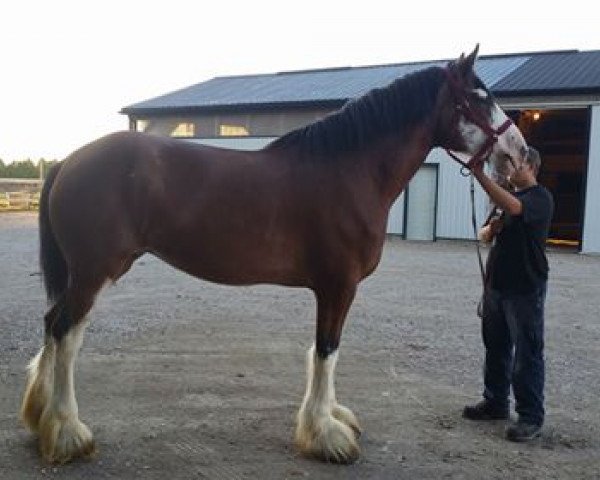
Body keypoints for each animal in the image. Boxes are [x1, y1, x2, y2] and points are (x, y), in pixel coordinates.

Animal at [19, 47, 524, 464]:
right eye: (479, 98)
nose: (521, 152)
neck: (349, 171)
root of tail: (69, 160)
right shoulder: (338, 286)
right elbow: (326, 350)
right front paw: (325, 436)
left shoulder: (334, 288)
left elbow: (326, 351)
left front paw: (332, 418)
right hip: (94, 272)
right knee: (65, 333)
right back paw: (69, 433)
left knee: (54, 325)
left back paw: (40, 418)